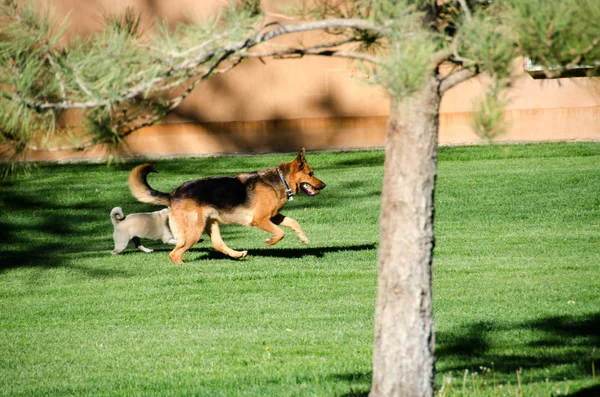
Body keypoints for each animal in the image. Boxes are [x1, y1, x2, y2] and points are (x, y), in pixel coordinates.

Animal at [126, 148, 324, 262]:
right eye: (311, 173)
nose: (323, 185)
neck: (280, 180)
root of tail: (173, 194)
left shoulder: (274, 216)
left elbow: (293, 223)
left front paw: (303, 238)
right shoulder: (260, 220)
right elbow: (280, 233)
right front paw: (270, 241)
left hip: (210, 223)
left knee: (217, 244)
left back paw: (237, 254)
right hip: (194, 230)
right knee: (175, 253)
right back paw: (183, 266)